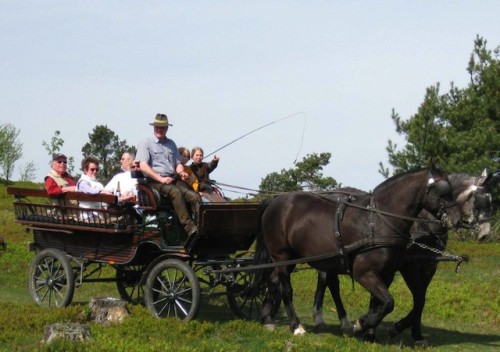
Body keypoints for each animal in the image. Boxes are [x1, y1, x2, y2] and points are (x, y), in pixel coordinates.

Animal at [256, 165, 462, 336]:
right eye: (444, 190)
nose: (457, 219)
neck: (378, 221)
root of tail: (276, 200)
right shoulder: (363, 272)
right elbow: (389, 302)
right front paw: (362, 325)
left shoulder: (387, 273)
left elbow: (388, 302)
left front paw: (371, 327)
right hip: (282, 255)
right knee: (286, 289)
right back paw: (295, 325)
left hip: (292, 258)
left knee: (274, 280)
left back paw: (268, 319)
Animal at [312, 169, 492, 346]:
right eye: (480, 199)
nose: (485, 234)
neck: (421, 223)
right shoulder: (406, 266)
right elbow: (389, 298)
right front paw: (374, 331)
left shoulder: (428, 267)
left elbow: (420, 299)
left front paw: (415, 334)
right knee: (330, 283)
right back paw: (332, 320)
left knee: (327, 280)